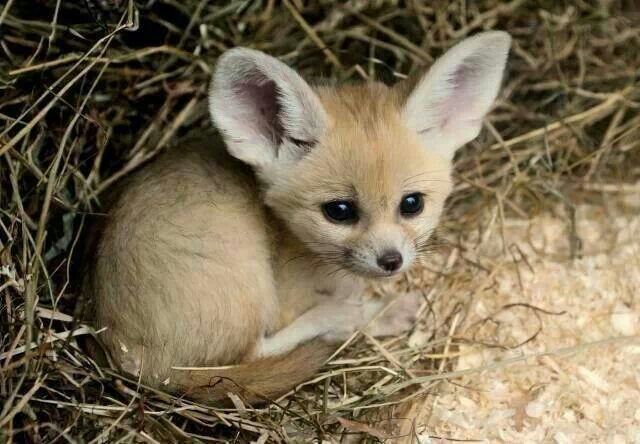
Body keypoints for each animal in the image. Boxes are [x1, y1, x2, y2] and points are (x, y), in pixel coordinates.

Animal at [85, 32, 512, 402]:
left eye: (412, 204)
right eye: (339, 211)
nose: (391, 261)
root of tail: (135, 360)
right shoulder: (288, 299)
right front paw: (371, 310)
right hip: (248, 283)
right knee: (257, 353)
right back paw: (356, 316)